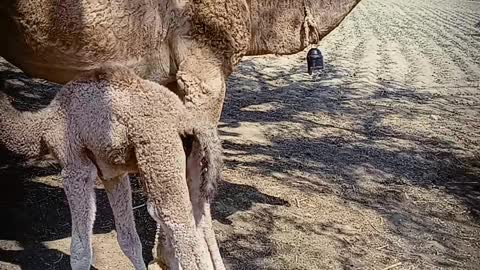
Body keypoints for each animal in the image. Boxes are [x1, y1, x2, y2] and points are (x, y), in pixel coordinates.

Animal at [0, 65, 225, 270]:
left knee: (178, 226)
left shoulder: (74, 166)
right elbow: (129, 240)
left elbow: (81, 251)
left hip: (160, 156)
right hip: (193, 163)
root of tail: (186, 120)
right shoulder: (113, 175)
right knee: (197, 219)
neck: (42, 128)